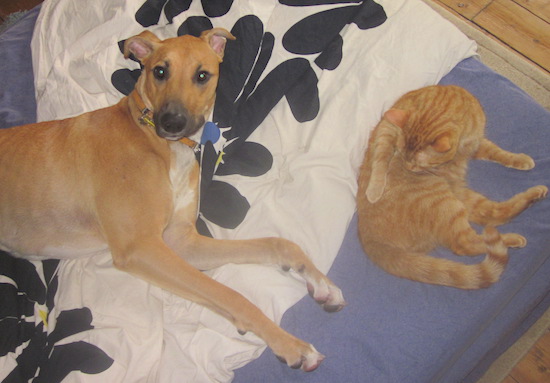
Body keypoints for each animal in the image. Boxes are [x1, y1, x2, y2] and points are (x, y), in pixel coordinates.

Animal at [358, 85, 548, 290]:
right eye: (400, 153)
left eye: (417, 164)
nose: (408, 167)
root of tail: (368, 238)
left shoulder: (476, 142)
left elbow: (497, 152)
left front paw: (519, 159)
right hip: (448, 205)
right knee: (467, 244)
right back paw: (511, 239)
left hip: (462, 199)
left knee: (495, 215)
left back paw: (537, 194)